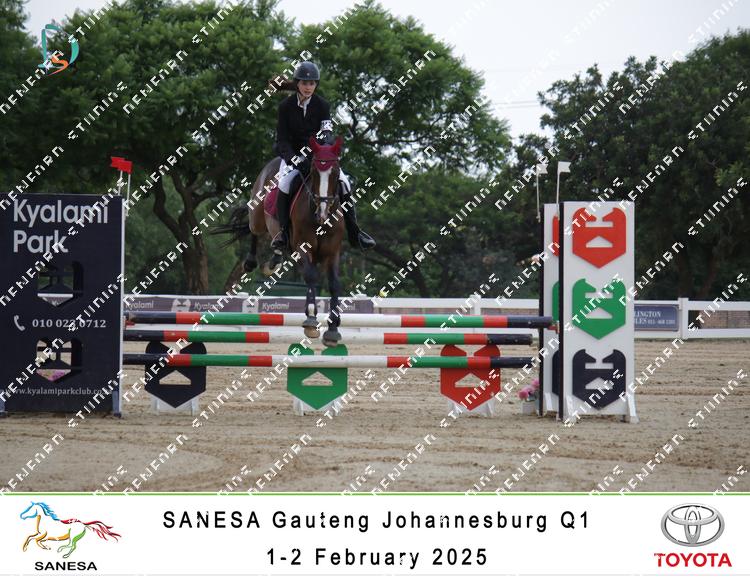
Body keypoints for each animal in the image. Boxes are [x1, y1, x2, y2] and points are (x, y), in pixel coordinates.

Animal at [217, 135, 347, 346]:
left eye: (335, 173)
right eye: (313, 172)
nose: (322, 213)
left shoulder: (332, 251)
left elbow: (334, 284)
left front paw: (333, 329)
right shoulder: (303, 247)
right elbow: (311, 276)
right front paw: (311, 321)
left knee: (277, 243)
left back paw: (274, 261)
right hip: (258, 215)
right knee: (254, 230)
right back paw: (251, 262)